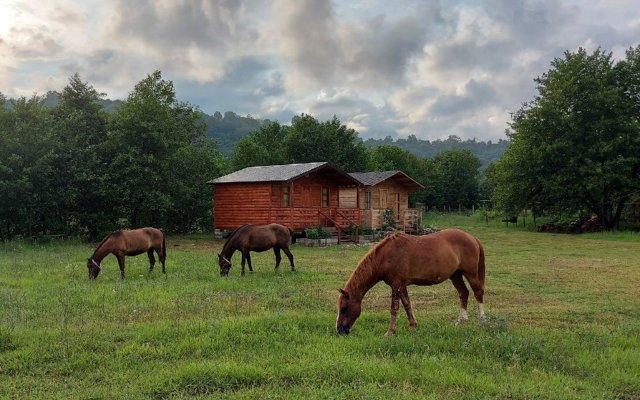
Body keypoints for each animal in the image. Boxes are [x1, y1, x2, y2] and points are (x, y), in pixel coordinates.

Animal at [336, 228, 484, 334]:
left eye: (344, 308)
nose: (339, 330)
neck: (385, 257)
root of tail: (472, 238)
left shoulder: (396, 285)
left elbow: (394, 308)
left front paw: (390, 332)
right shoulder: (402, 285)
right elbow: (407, 305)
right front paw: (413, 326)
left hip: (471, 274)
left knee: (478, 292)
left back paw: (482, 321)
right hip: (456, 275)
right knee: (463, 293)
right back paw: (461, 321)